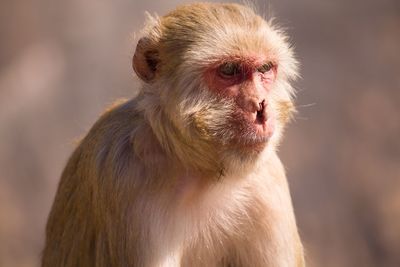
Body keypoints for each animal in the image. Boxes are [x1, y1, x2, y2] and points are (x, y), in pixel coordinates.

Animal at [41, 2, 304, 267]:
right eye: (229, 70)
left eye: (264, 69)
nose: (260, 107)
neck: (200, 170)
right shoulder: (123, 172)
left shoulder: (269, 179)